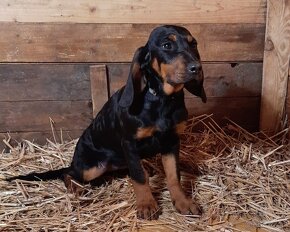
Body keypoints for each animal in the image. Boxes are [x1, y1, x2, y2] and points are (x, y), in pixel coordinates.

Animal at [7, 25, 206, 219]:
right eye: (167, 45)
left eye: (194, 44)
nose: (197, 68)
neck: (162, 99)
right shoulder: (129, 144)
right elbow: (139, 177)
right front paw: (146, 204)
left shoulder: (172, 142)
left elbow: (173, 175)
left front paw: (183, 202)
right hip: (92, 167)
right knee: (68, 173)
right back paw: (77, 189)